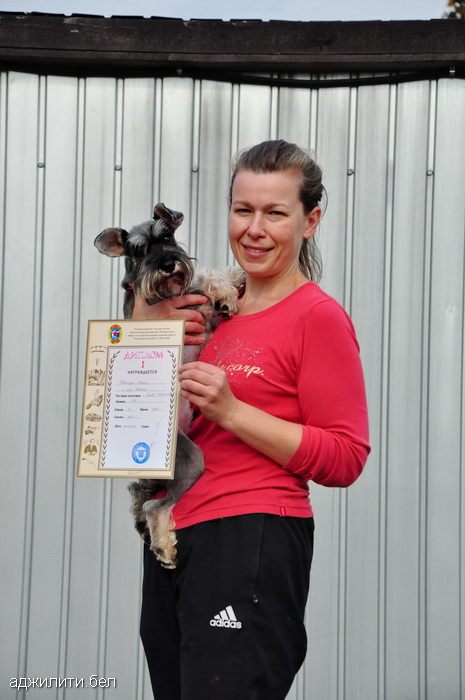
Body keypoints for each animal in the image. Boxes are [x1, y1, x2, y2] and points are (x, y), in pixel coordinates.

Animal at [95, 203, 244, 568]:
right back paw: (164, 547)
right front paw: (227, 294)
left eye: (166, 238)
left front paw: (235, 279)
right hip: (190, 462)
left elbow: (207, 275)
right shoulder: (188, 306)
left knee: (141, 495)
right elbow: (205, 279)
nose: (167, 265)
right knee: (154, 504)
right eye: (137, 250)